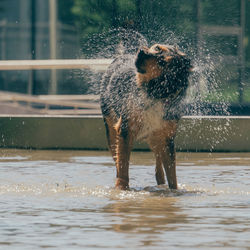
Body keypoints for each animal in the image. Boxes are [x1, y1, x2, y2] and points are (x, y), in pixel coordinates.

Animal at [99, 44, 191, 190]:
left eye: (162, 62)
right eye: (156, 47)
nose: (142, 51)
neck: (155, 94)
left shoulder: (167, 138)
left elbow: (172, 176)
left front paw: (174, 191)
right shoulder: (125, 130)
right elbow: (123, 166)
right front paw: (121, 189)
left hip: (155, 137)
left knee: (158, 163)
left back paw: (161, 183)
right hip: (111, 131)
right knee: (117, 159)